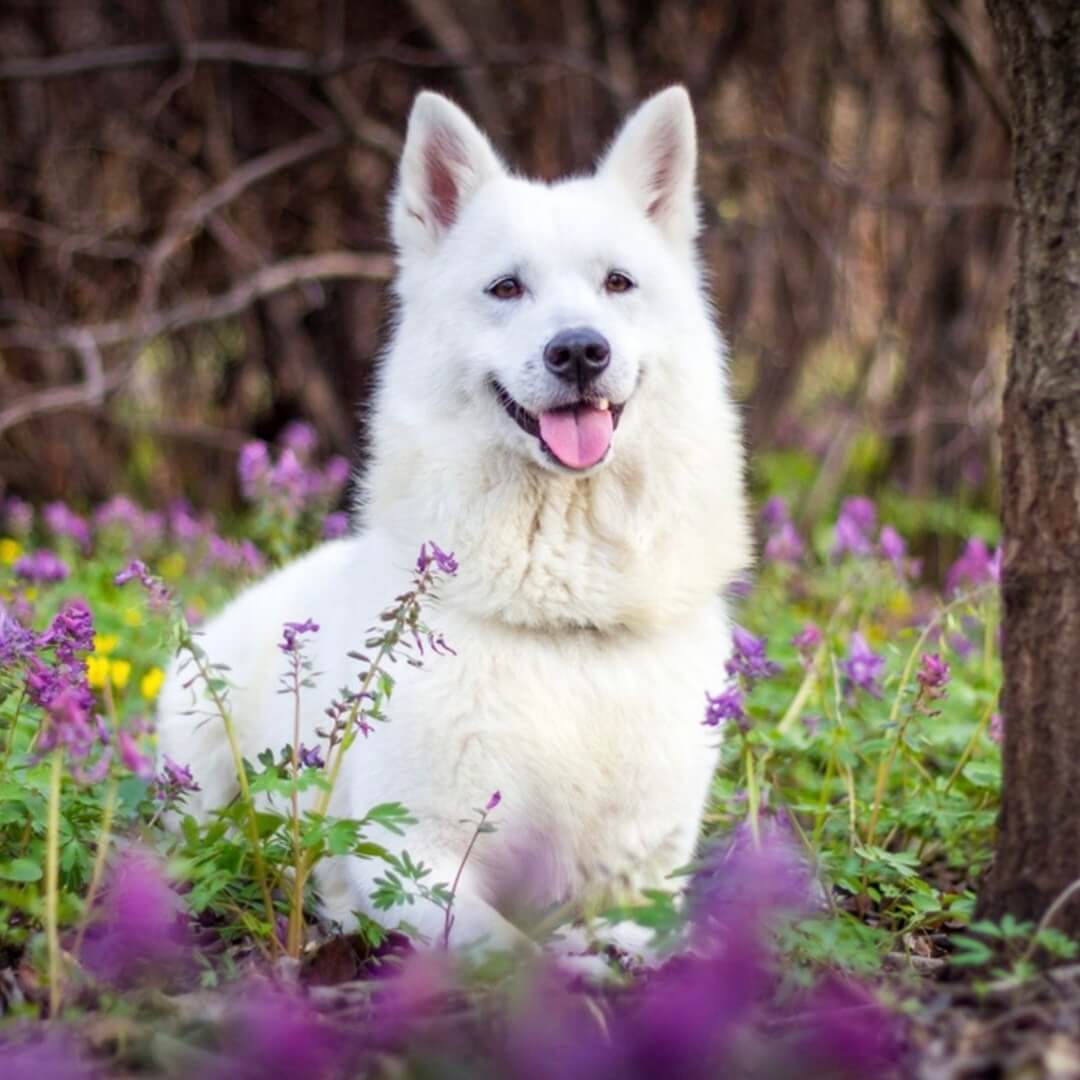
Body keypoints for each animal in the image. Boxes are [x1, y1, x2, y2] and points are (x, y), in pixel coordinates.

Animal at [157, 86, 751, 954]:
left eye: (618, 282)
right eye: (506, 289)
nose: (581, 351)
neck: (561, 621)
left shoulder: (643, 875)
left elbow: (633, 936)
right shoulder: (410, 853)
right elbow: (508, 948)